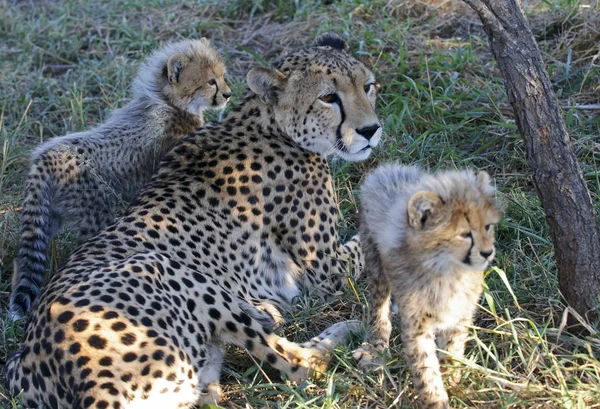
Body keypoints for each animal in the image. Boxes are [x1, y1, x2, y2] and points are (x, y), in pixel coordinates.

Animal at [10, 37, 233, 318]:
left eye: (223, 77)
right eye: (210, 81)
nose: (228, 94)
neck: (168, 101)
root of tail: (47, 155)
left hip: (47, 216)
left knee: (23, 259)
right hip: (95, 216)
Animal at [354, 164, 504, 408]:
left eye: (487, 227)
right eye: (465, 234)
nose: (487, 252)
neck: (446, 269)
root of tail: (389, 168)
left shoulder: (460, 315)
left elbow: (453, 349)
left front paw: (452, 380)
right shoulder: (417, 324)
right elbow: (425, 369)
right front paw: (435, 399)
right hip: (376, 265)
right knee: (378, 306)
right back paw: (375, 346)